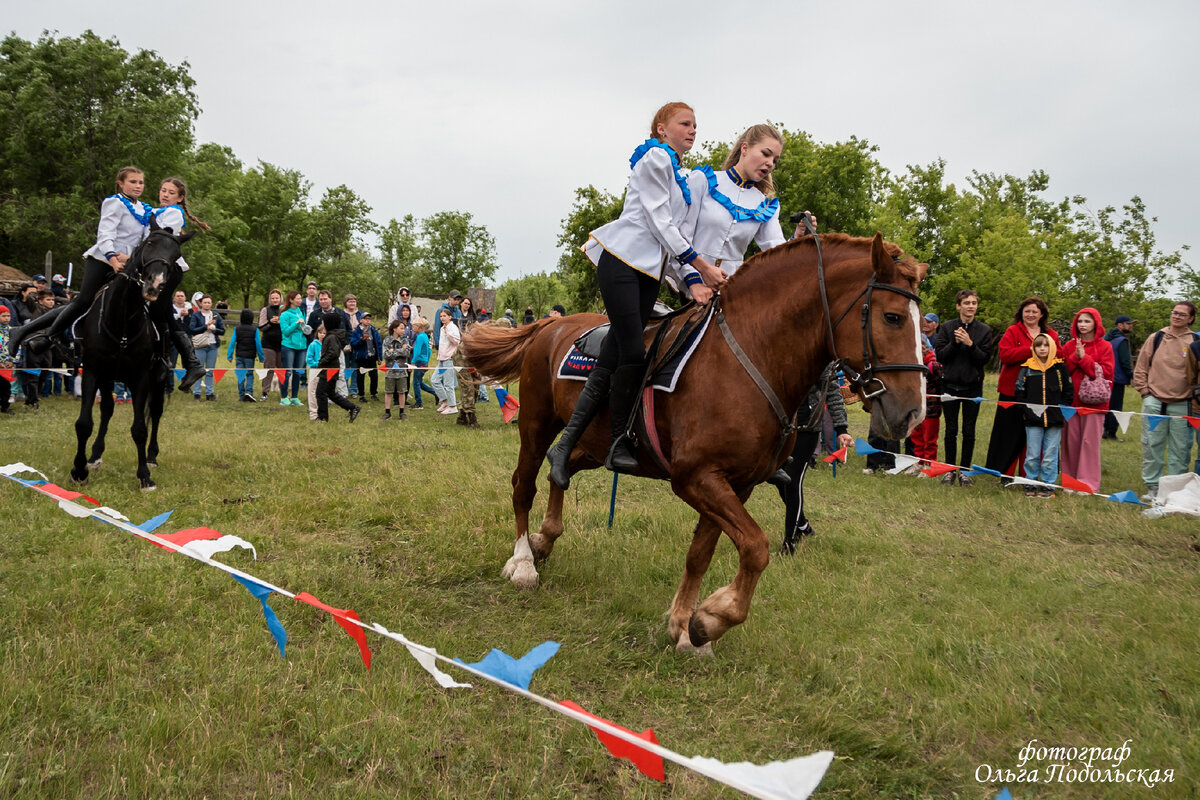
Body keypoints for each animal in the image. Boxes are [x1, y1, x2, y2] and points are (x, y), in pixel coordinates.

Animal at [72, 215, 192, 491]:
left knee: (155, 413)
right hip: (108, 378)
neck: (123, 322)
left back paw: (151, 457)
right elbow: (84, 423)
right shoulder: (93, 371)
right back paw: (95, 455)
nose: (155, 284)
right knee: (107, 409)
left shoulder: (141, 378)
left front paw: (144, 476)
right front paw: (79, 469)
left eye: (176, 255)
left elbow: (140, 428)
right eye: (148, 243)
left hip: (157, 379)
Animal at [460, 230, 926, 652]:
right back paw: (523, 560)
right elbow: (756, 547)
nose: (912, 413)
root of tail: (554, 323)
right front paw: (711, 619)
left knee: (563, 467)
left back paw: (545, 537)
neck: (753, 353)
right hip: (536, 425)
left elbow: (702, 551)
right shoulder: (696, 477)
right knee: (524, 484)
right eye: (893, 317)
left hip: (593, 446)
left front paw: (684, 626)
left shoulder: (734, 484)